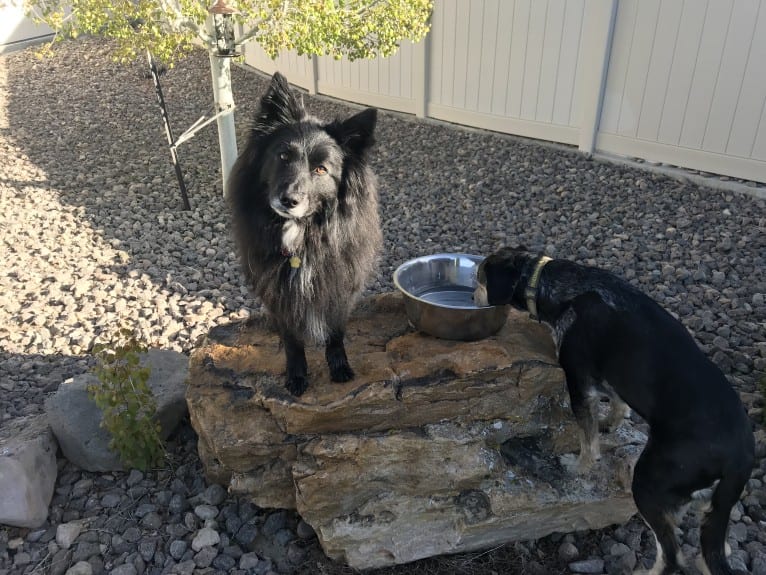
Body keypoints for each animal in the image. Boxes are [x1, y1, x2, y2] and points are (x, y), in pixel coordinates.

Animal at [474, 246, 756, 575]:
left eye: (480, 279)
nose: (472, 297)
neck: (556, 285)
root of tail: (741, 457)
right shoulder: (608, 376)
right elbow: (616, 403)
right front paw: (612, 422)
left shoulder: (579, 379)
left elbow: (587, 438)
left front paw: (580, 466)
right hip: (708, 506)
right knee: (713, 548)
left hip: (649, 482)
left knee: (671, 554)